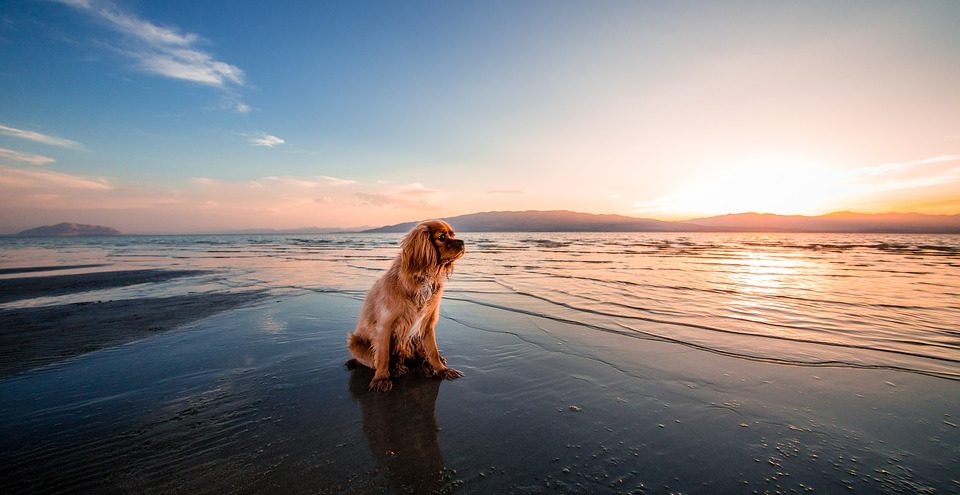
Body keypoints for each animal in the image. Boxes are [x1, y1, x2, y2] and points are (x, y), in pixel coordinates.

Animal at [346, 221, 466, 392]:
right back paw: (395, 368)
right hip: (355, 341)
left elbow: (432, 351)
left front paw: (441, 369)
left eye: (453, 235)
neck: (423, 278)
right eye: (442, 237)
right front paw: (381, 378)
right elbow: (382, 355)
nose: (462, 242)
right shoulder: (385, 325)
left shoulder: (427, 324)